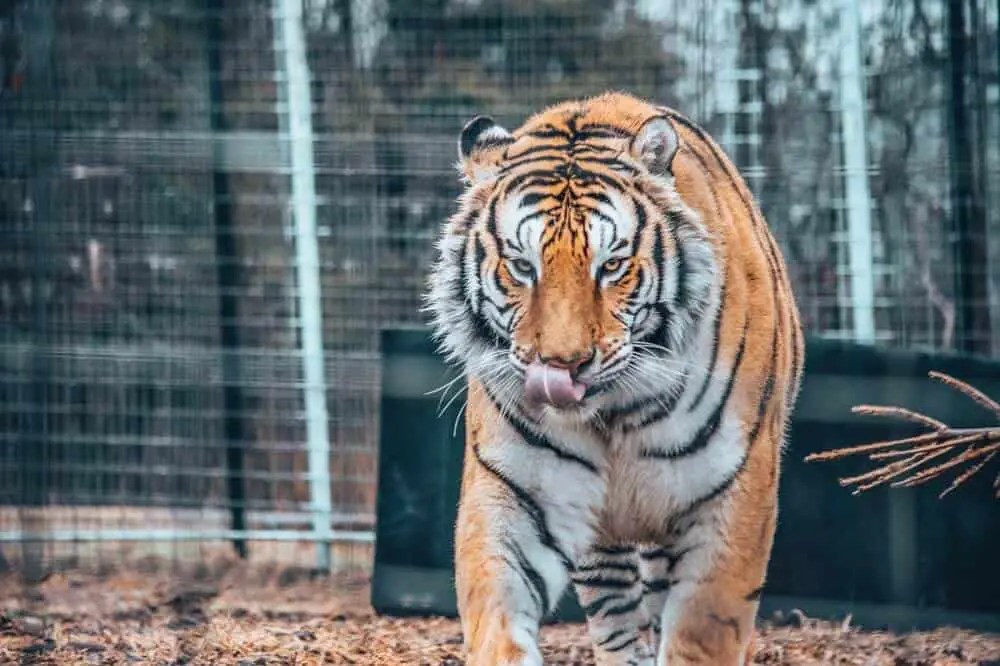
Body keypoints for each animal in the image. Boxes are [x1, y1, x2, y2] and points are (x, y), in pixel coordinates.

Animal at [424, 91, 804, 666]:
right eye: (522, 266)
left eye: (611, 266)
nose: (561, 365)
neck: (616, 414)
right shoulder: (516, 494)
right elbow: (498, 618)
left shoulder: (731, 496)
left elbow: (701, 633)